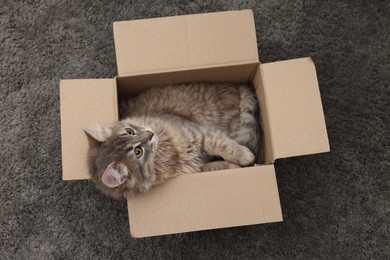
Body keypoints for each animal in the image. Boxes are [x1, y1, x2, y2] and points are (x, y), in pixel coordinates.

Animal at [84, 82, 262, 198]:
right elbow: (214, 165)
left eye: (130, 131)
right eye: (138, 152)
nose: (149, 134)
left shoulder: (200, 133)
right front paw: (235, 165)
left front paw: (246, 157)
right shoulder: (198, 166)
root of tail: (239, 86)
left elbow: (227, 147)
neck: (167, 150)